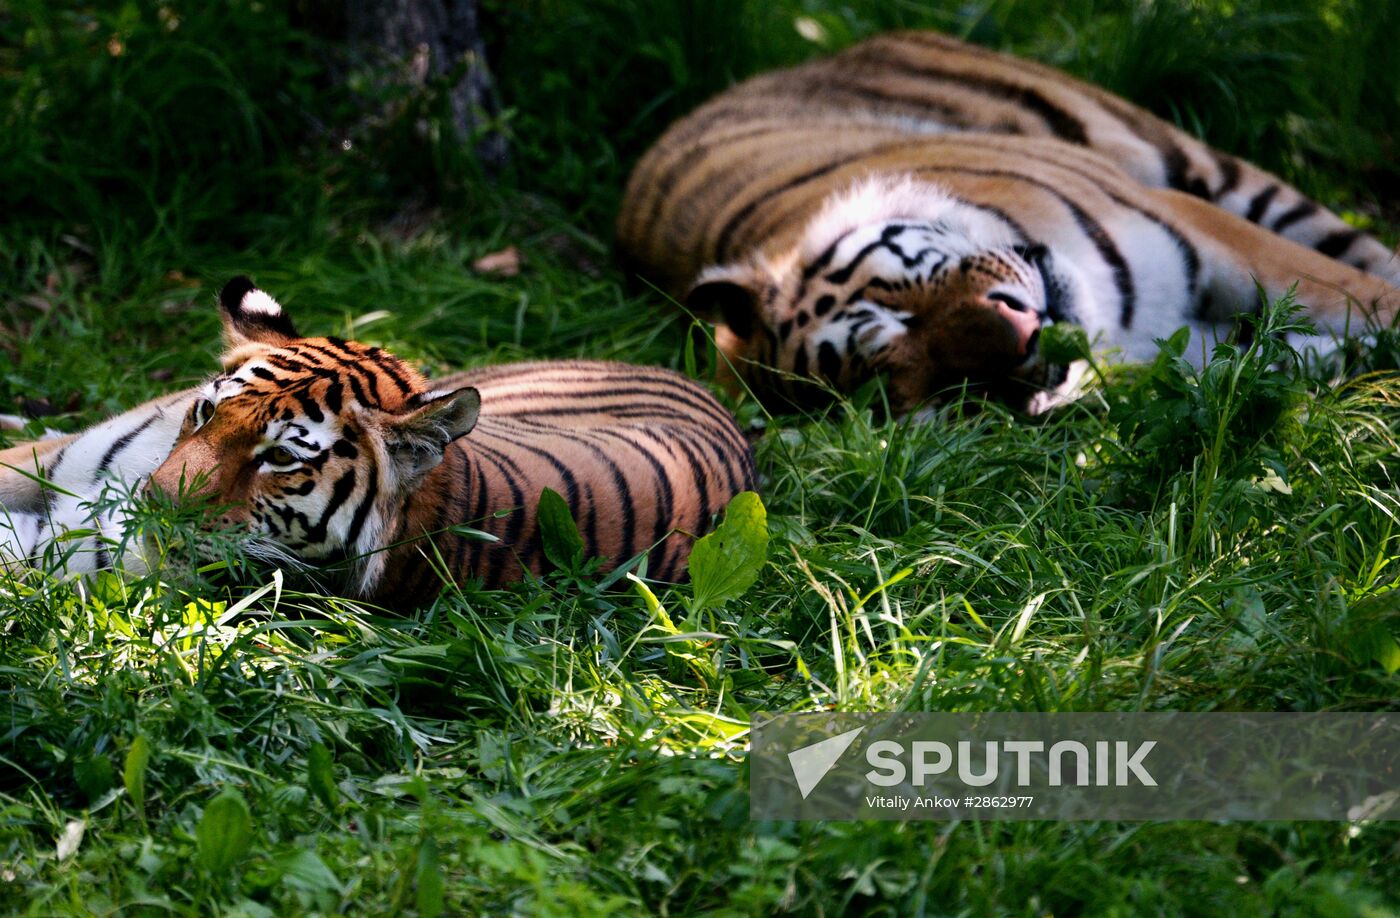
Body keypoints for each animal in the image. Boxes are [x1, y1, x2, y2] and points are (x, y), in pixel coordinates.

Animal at [617, 30, 1400, 414]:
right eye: (942, 386)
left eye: (898, 307)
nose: (1025, 337)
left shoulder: (1205, 230)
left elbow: (1369, 297)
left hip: (1204, 166)